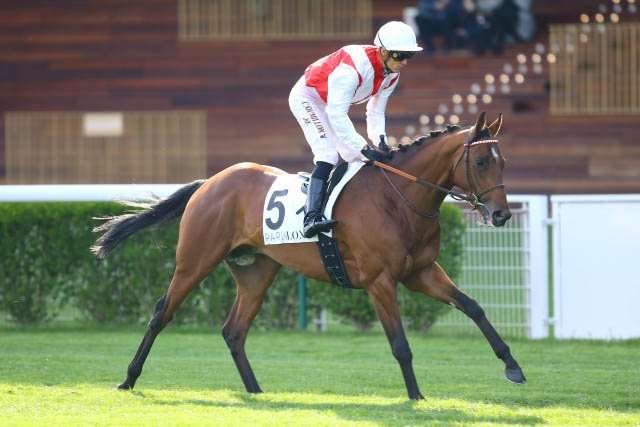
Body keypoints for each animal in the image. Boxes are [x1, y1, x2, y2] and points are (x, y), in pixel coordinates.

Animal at [91, 112, 525, 400]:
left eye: (504, 161)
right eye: (481, 161)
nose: (501, 215)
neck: (398, 198)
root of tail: (209, 182)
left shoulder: (421, 272)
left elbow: (473, 307)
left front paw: (513, 366)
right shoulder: (379, 281)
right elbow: (400, 344)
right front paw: (416, 397)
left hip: (257, 273)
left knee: (234, 330)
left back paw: (256, 391)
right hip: (195, 260)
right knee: (161, 313)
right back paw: (128, 378)